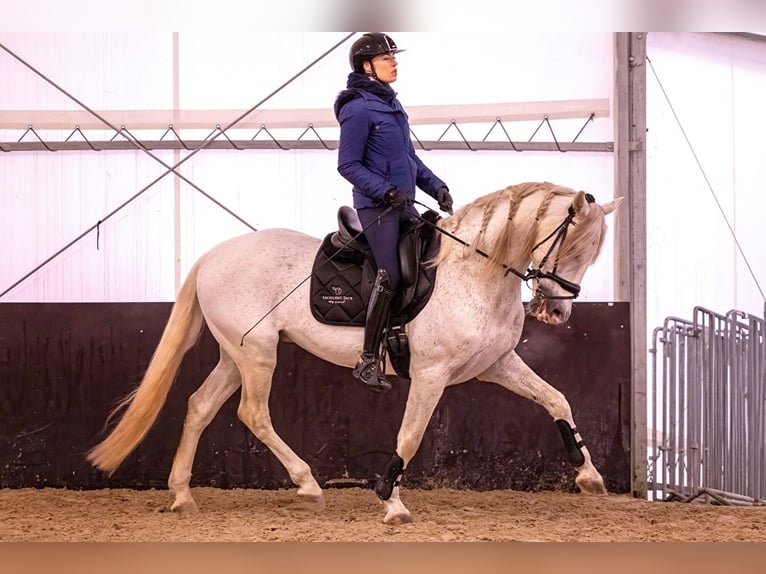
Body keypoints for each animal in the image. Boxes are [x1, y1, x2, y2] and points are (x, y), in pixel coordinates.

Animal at [88, 181, 624, 528]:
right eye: (572, 246)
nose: (557, 312)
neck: (474, 271)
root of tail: (212, 257)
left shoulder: (497, 365)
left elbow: (558, 400)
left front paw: (590, 476)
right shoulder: (431, 374)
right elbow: (409, 437)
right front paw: (392, 503)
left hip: (234, 354)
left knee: (200, 406)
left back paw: (182, 497)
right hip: (258, 355)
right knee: (253, 412)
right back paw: (307, 484)